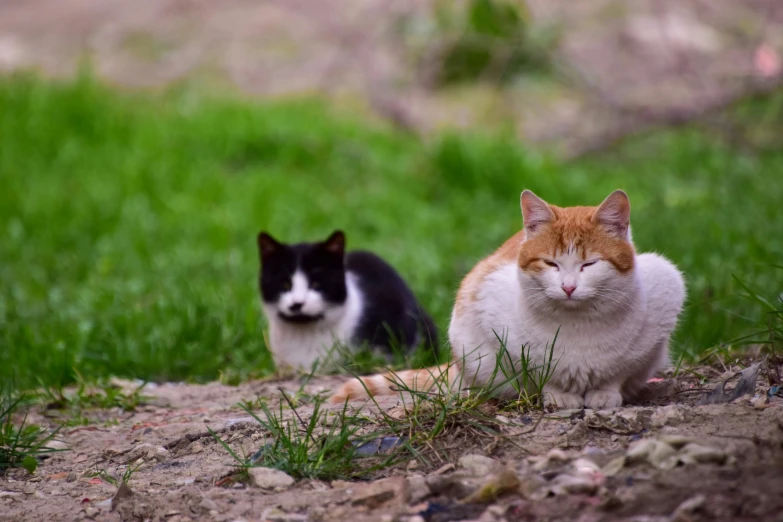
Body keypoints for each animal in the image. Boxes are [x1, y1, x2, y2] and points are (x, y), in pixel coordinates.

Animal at [330, 189, 688, 408]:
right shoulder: (488, 307)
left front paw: (604, 393)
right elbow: (540, 373)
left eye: (589, 265)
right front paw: (559, 396)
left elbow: (618, 372)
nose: (568, 287)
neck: (578, 327)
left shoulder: (664, 291)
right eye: (551, 264)